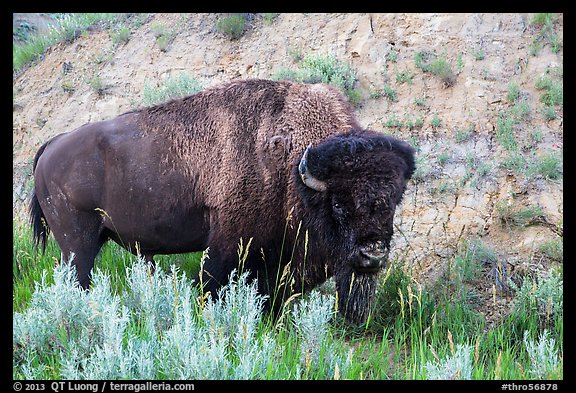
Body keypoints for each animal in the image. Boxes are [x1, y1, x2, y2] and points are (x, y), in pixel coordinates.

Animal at [29, 78, 414, 324]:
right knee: (78, 276)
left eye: (393, 201)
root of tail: (52, 145)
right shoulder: (229, 244)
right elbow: (211, 285)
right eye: (338, 204)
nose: (373, 255)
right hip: (78, 242)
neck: (292, 167)